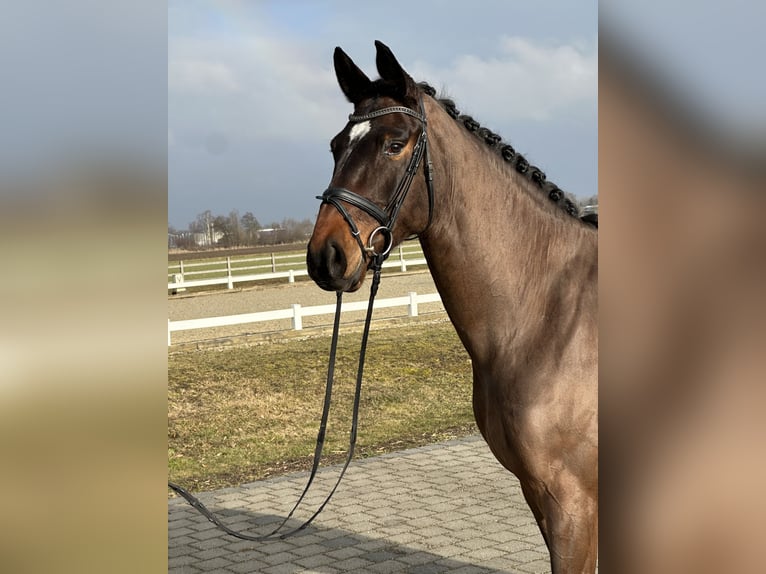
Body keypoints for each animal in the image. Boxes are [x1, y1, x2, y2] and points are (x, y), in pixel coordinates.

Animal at [306, 41, 598, 574]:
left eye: (395, 144)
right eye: (337, 146)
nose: (326, 256)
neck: (549, 318)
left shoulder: (573, 503)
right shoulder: (539, 496)